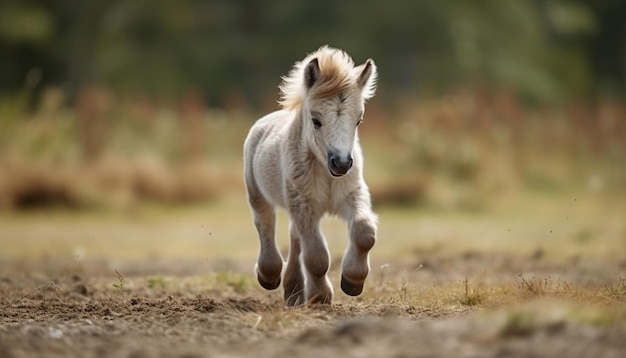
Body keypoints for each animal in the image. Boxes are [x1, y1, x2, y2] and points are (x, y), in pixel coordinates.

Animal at [243, 46, 376, 304]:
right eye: (316, 120)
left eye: (359, 120)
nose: (341, 163)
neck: (326, 174)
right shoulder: (303, 204)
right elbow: (317, 257)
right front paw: (320, 297)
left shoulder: (352, 194)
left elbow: (365, 232)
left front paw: (352, 282)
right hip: (258, 193)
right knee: (265, 222)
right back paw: (269, 275)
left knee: (295, 237)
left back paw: (294, 291)